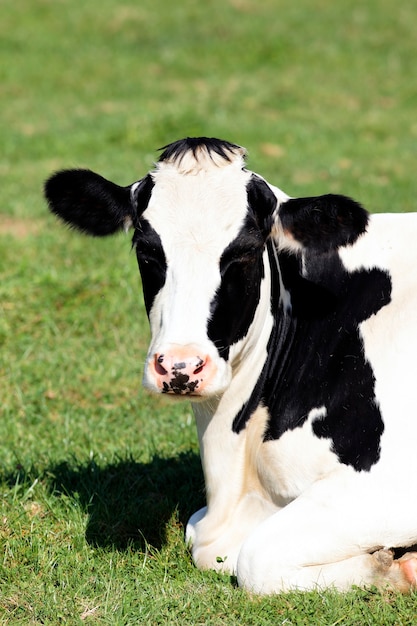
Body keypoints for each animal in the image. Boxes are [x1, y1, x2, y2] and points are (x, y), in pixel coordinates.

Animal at [43, 136, 417, 588]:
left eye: (245, 253)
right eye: (146, 250)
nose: (180, 367)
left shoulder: (389, 483)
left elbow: (255, 559)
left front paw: (393, 567)